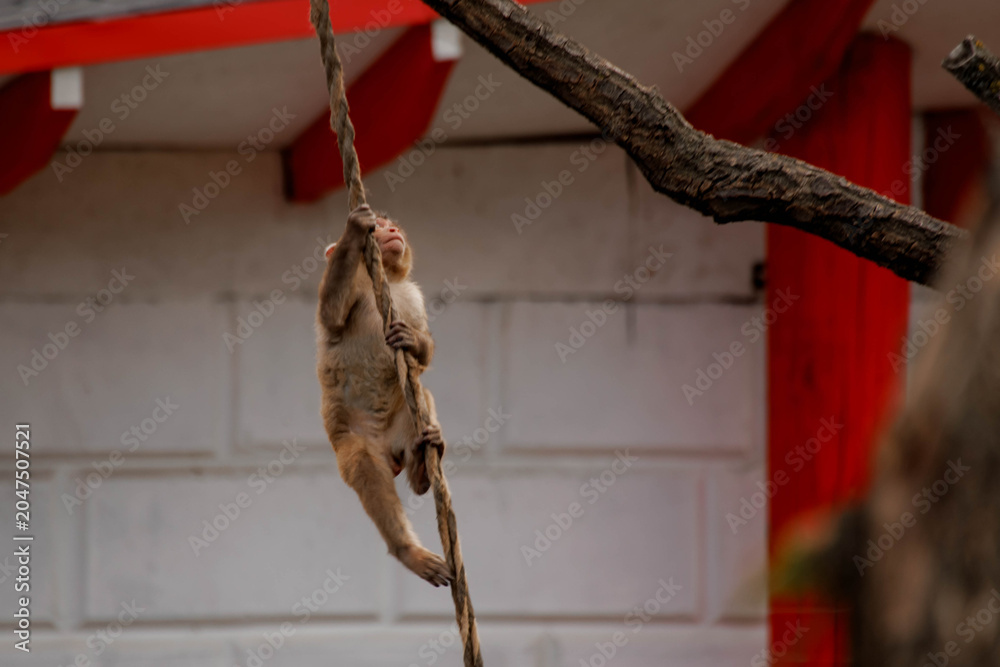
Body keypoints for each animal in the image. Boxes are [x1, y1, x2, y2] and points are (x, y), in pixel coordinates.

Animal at [316, 203, 453, 587]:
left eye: (392, 224)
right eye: (379, 225)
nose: (391, 229)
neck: (386, 278)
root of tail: (392, 452)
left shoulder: (413, 297)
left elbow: (424, 353)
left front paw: (413, 340)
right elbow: (332, 314)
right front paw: (353, 230)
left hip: (402, 427)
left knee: (420, 396)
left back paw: (423, 466)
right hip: (357, 444)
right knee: (370, 476)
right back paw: (408, 551)